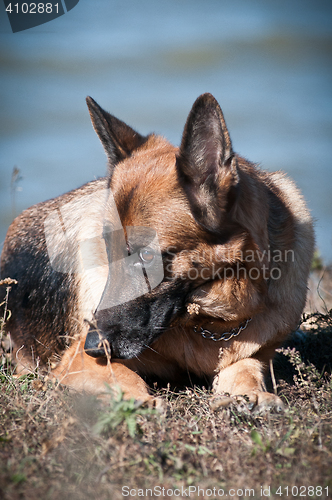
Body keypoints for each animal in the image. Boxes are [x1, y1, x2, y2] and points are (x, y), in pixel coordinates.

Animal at [1, 94, 316, 410]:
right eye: (107, 251)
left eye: (146, 256)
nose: (93, 347)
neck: (212, 323)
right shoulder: (76, 358)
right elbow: (122, 375)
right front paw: (141, 400)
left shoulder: (251, 355)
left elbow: (246, 370)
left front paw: (252, 395)